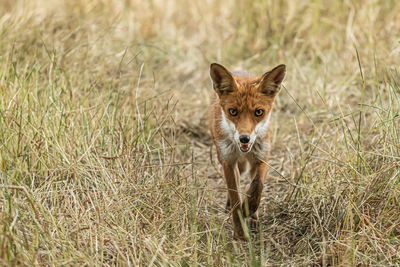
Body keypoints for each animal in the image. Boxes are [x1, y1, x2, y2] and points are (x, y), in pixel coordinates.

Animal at [208, 62, 286, 241]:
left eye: (259, 112)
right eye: (232, 111)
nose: (245, 139)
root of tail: (239, 70)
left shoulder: (261, 156)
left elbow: (257, 186)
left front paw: (249, 209)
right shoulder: (228, 161)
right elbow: (235, 198)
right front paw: (239, 231)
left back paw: (253, 217)